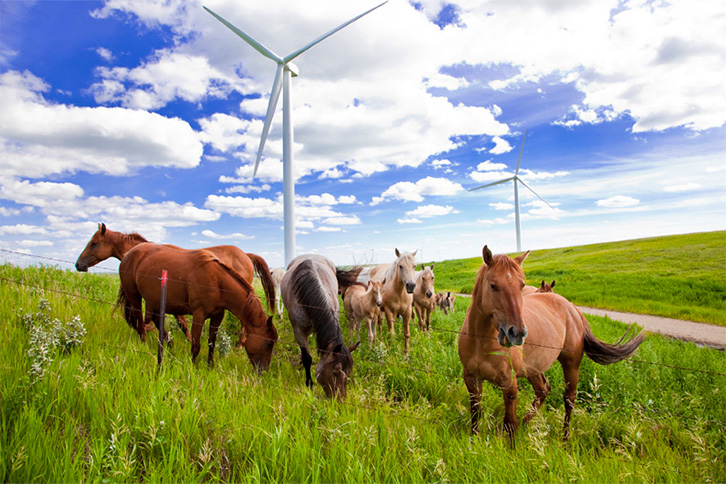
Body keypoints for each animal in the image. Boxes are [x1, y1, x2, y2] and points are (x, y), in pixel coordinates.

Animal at [116, 244, 278, 372]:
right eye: (269, 343)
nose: (264, 371)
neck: (217, 281)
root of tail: (128, 254)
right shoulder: (199, 315)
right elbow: (196, 344)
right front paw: (192, 367)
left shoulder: (217, 315)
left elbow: (212, 342)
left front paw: (210, 365)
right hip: (134, 295)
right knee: (139, 320)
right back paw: (144, 344)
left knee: (155, 319)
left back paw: (169, 343)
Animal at [284, 255, 364, 398]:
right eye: (334, 372)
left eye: (348, 373)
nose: (340, 400)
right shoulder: (298, 329)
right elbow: (307, 357)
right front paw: (309, 384)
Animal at [460, 246, 648, 442]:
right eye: (493, 286)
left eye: (521, 285)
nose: (517, 332)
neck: (481, 340)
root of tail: (572, 308)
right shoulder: (471, 379)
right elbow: (475, 416)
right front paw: (474, 442)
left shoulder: (509, 385)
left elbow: (510, 425)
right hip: (533, 367)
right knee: (543, 390)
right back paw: (526, 424)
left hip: (571, 364)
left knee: (569, 399)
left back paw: (564, 440)